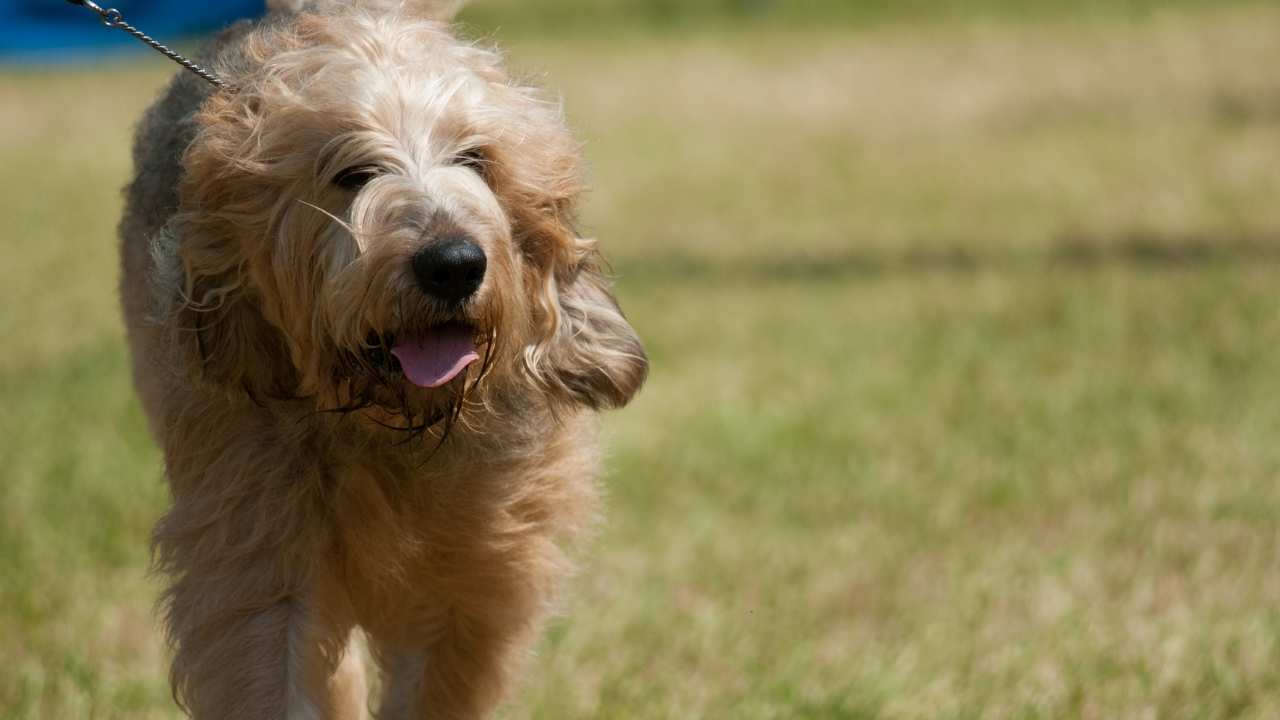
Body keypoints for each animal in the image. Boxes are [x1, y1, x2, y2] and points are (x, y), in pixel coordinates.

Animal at [117, 2, 650, 712]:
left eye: (476, 158)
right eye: (352, 173)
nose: (453, 265)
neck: (390, 423)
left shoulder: (474, 571)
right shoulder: (256, 548)